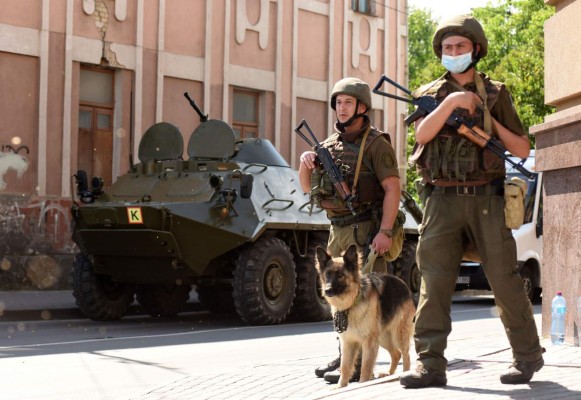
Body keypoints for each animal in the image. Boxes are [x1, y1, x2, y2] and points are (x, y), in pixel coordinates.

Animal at [314, 244, 414, 388]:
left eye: (340, 275)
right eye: (327, 274)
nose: (327, 291)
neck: (351, 303)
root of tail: (403, 283)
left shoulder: (368, 342)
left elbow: (365, 367)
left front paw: (362, 384)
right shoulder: (348, 342)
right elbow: (345, 367)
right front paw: (340, 386)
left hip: (397, 335)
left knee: (406, 355)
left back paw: (404, 373)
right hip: (383, 337)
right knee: (396, 354)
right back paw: (389, 374)